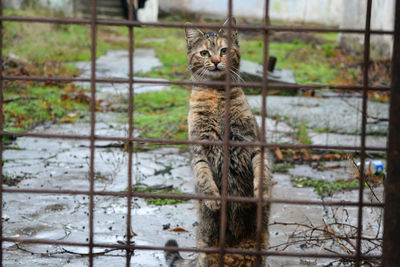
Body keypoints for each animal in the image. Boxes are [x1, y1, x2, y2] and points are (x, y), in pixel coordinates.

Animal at [164, 17, 270, 266]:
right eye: (204, 52)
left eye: (223, 50)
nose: (214, 61)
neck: (218, 95)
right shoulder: (198, 148)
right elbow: (203, 175)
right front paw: (212, 198)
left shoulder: (252, 141)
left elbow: (263, 169)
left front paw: (262, 191)